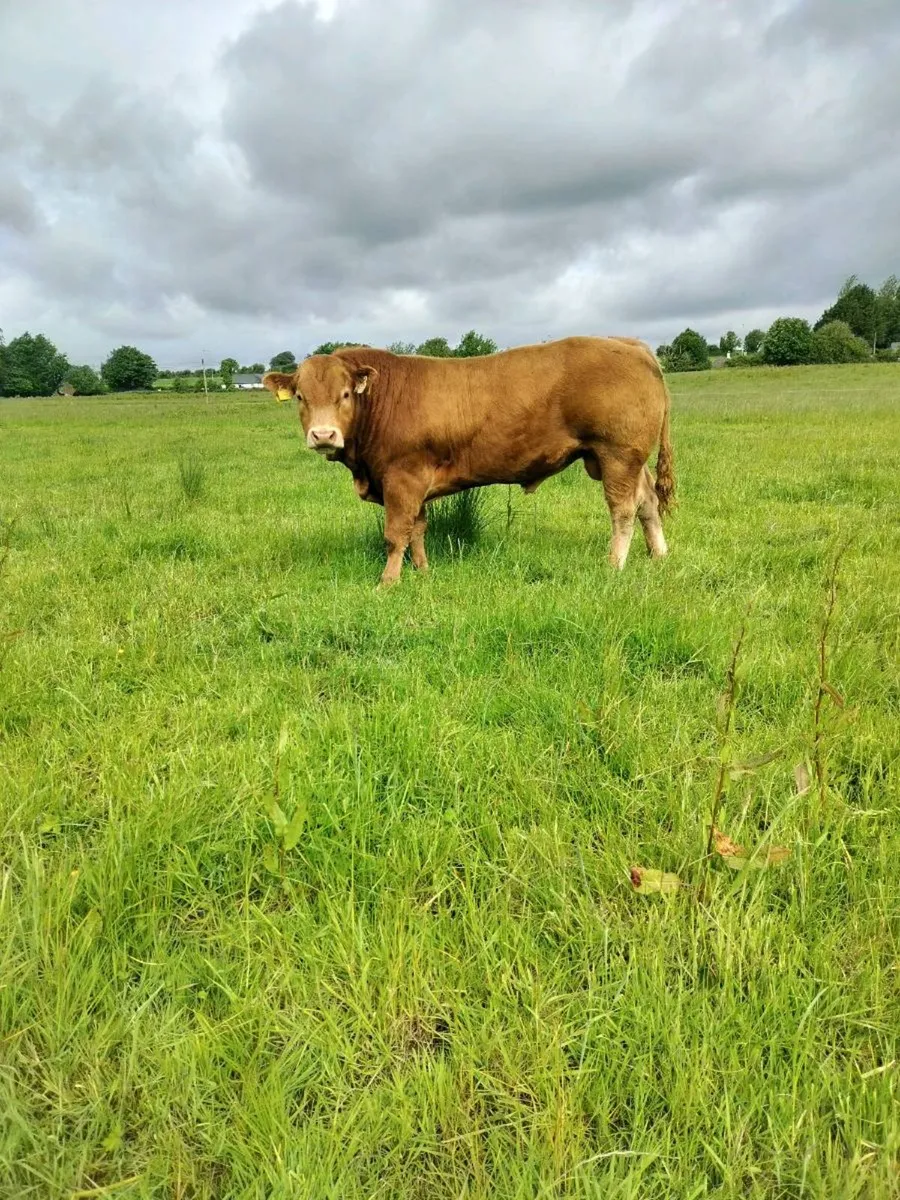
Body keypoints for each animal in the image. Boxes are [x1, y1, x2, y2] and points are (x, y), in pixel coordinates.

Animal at [263, 336, 674, 586]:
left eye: (345, 394)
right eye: (300, 397)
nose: (323, 436)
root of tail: (628, 343)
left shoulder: (401, 477)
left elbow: (395, 534)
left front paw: (388, 582)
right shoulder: (415, 481)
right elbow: (418, 529)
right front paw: (423, 572)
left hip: (617, 453)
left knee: (623, 509)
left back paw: (614, 565)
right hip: (626, 460)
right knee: (648, 502)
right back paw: (659, 557)